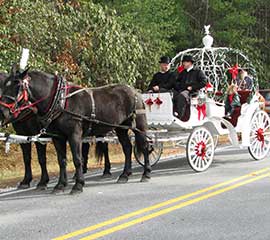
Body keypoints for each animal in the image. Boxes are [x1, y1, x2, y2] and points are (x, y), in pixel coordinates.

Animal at [0, 67, 150, 193]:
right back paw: (124, 175)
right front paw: (60, 185)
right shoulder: (57, 137)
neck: (60, 101)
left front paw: (78, 185)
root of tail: (135, 91)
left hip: (139, 125)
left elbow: (77, 159)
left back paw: (146, 173)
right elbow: (61, 160)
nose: (3, 112)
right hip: (121, 128)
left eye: (18, 86)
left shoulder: (74, 135)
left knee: (144, 146)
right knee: (127, 148)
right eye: (4, 86)